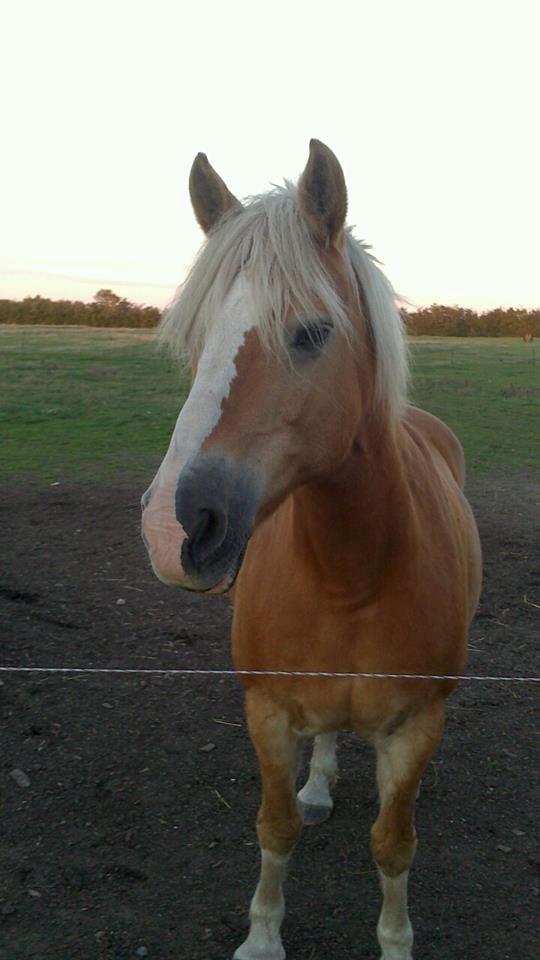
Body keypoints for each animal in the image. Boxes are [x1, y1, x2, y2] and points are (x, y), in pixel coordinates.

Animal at [141, 141, 484, 960]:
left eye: (311, 333)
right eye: (196, 342)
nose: (173, 531)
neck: (349, 576)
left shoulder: (416, 728)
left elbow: (394, 844)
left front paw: (395, 942)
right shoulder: (266, 711)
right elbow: (276, 826)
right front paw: (263, 937)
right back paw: (321, 782)